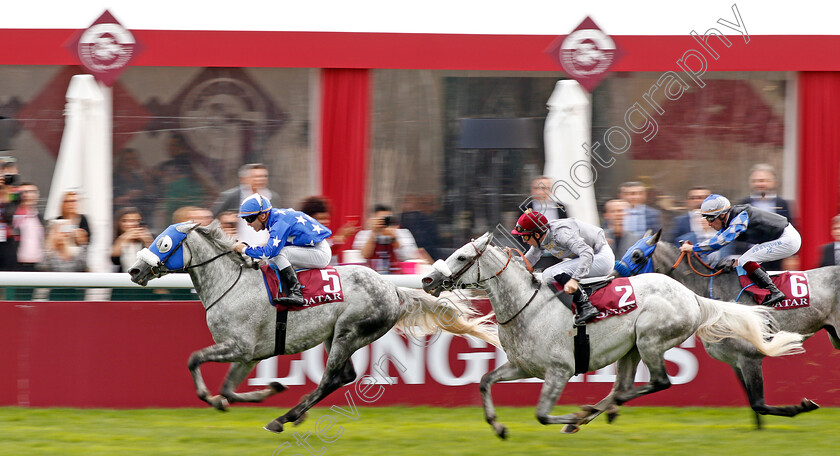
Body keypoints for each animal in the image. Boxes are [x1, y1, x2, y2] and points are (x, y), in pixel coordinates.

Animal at [130, 223, 498, 432]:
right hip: (336, 336)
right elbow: (229, 390)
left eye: (164, 244)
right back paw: (293, 413)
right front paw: (266, 390)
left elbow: (194, 359)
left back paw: (285, 418)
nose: (134, 270)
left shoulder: (239, 346)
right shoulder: (249, 355)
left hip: (349, 332)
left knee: (331, 379)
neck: (230, 282)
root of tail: (393, 289)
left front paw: (209, 397)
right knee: (344, 375)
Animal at [424, 233, 804, 436]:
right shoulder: (522, 366)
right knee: (623, 387)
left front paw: (572, 417)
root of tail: (692, 296)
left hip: (650, 340)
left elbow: (542, 414)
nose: (428, 279)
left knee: (657, 382)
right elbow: (485, 381)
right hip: (631, 349)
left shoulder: (559, 371)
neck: (527, 307)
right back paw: (596, 412)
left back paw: (590, 413)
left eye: (461, 257)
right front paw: (498, 426)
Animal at [612, 232, 832, 428]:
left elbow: (759, 404)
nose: (613, 279)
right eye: (627, 250)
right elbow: (754, 405)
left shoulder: (750, 356)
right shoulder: (735, 361)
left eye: (637, 255)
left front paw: (802, 407)